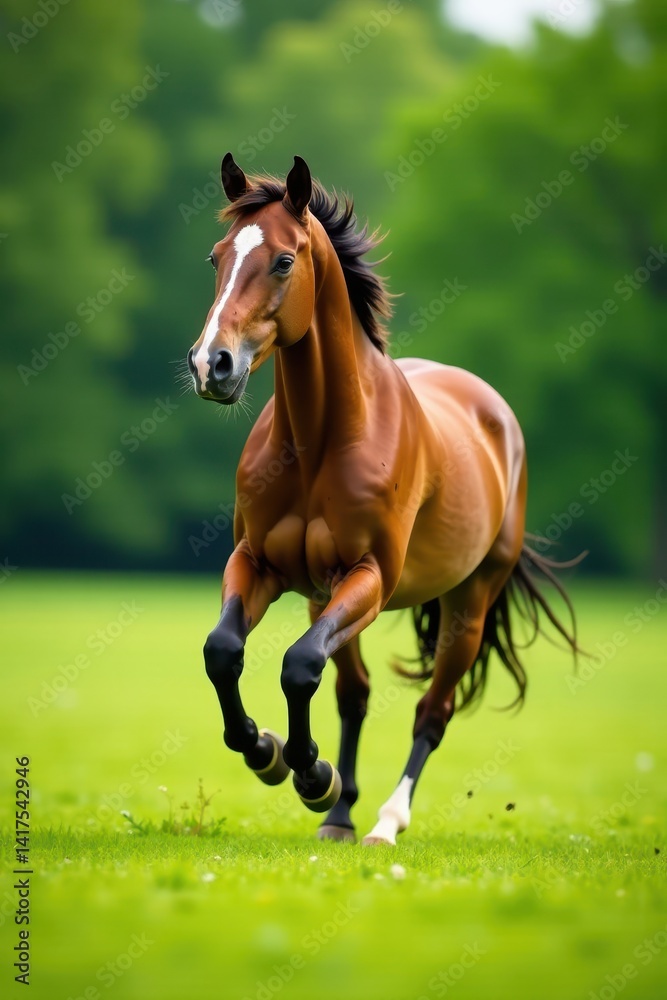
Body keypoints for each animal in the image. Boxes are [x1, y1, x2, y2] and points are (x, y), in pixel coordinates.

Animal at [186, 153, 579, 845]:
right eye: (216, 257)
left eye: (282, 260)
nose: (213, 365)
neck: (319, 443)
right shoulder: (258, 565)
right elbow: (225, 651)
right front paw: (270, 754)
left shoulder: (369, 575)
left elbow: (298, 665)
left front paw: (308, 772)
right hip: (325, 595)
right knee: (354, 692)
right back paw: (339, 814)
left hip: (467, 606)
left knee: (431, 712)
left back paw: (384, 822)